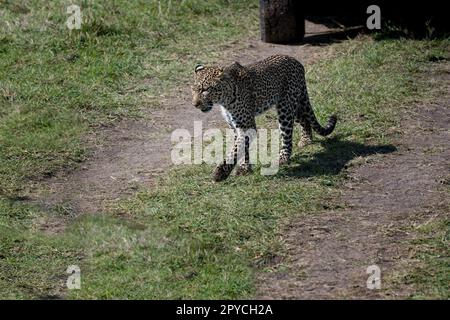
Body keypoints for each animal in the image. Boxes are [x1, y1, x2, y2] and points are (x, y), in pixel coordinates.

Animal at [191, 53, 338, 181]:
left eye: (206, 90)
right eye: (194, 89)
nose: (195, 104)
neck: (224, 100)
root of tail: (296, 61)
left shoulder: (246, 126)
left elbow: (235, 149)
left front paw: (220, 173)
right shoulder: (235, 127)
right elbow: (242, 147)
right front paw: (245, 168)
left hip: (286, 106)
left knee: (287, 136)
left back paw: (283, 158)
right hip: (295, 104)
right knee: (304, 119)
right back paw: (306, 139)